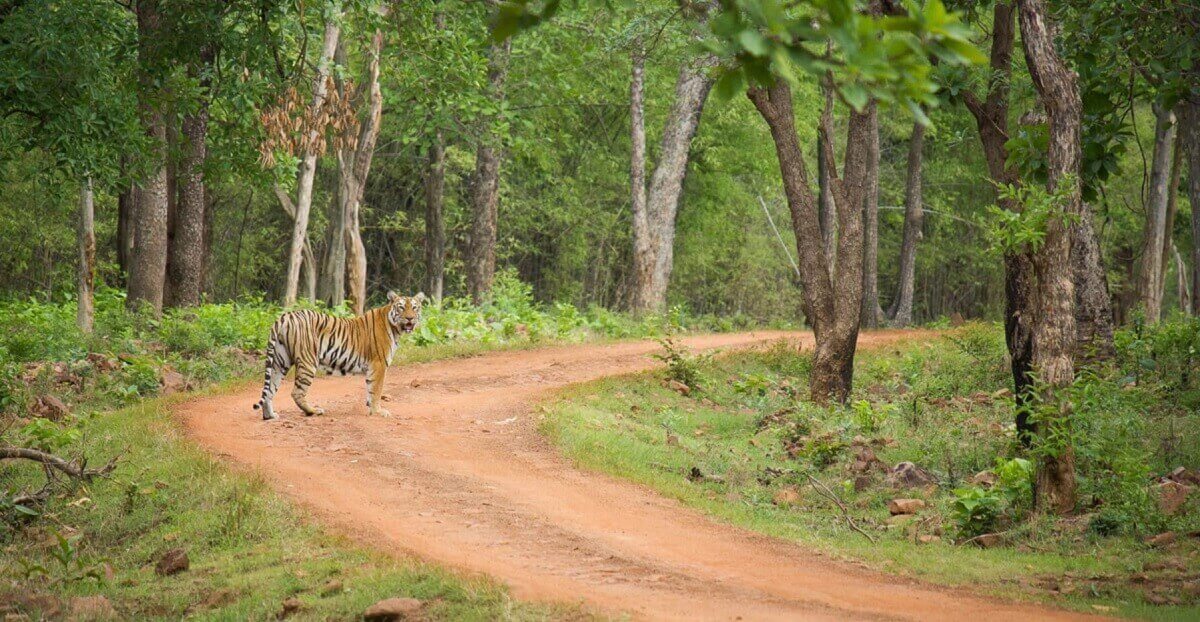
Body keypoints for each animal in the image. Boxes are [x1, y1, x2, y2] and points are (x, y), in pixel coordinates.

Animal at [253, 292, 425, 420]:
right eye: (401, 307)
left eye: (414, 308)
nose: (410, 318)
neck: (395, 328)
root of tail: (286, 316)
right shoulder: (379, 364)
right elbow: (376, 390)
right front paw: (379, 412)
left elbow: (370, 389)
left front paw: (371, 408)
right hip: (308, 361)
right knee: (297, 392)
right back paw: (313, 411)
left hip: (279, 361)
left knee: (269, 390)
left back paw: (269, 416)